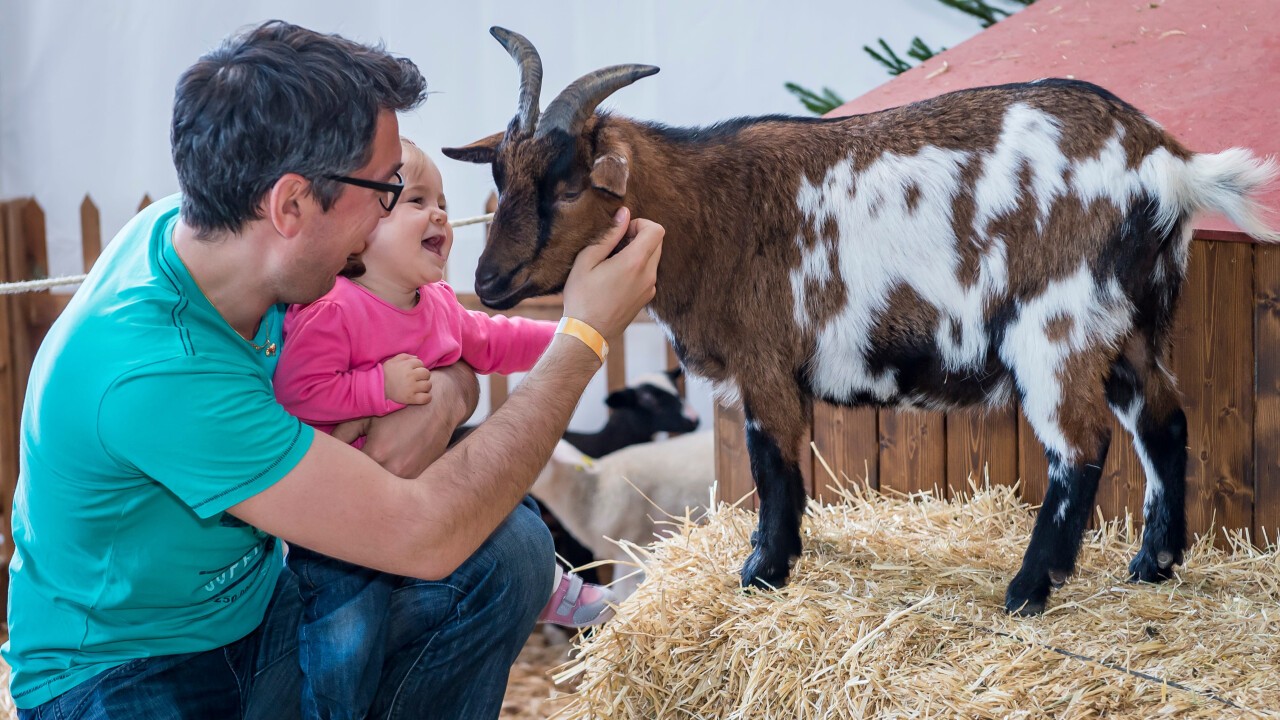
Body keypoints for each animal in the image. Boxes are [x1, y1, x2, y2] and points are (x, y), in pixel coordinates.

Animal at [442, 26, 1280, 609]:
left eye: (568, 184)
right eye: (499, 176)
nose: (487, 282)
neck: (711, 210)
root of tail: (1165, 163)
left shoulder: (766, 362)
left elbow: (774, 465)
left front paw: (763, 572)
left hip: (1059, 325)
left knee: (1082, 446)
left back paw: (1028, 590)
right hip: (1132, 326)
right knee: (1164, 422)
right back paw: (1151, 567)